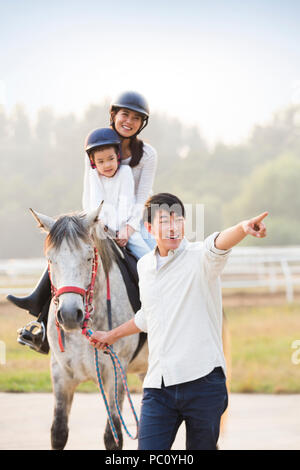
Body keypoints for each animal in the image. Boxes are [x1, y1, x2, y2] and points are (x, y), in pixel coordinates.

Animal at [30, 207, 148, 452]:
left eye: (88, 257)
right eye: (50, 260)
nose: (69, 314)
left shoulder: (115, 373)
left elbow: (113, 437)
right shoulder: (61, 374)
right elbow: (58, 433)